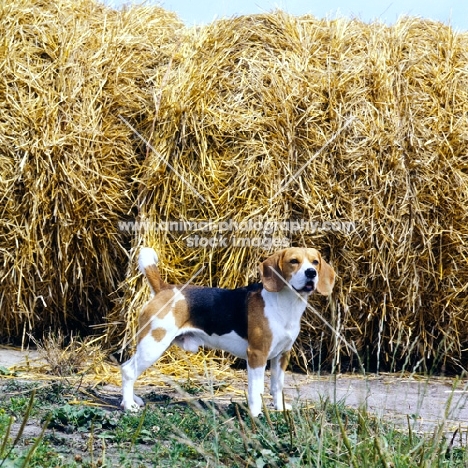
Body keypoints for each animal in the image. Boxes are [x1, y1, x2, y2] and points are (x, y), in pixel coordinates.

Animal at [119, 247, 332, 414]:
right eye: (293, 261)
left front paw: (279, 408)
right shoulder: (257, 355)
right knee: (128, 371)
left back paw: (133, 399)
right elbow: (256, 390)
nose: (311, 273)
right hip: (153, 344)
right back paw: (128, 405)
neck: (285, 303)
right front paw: (256, 415)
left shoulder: (282, 355)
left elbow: (276, 386)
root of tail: (165, 289)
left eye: (315, 261)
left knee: (128, 367)